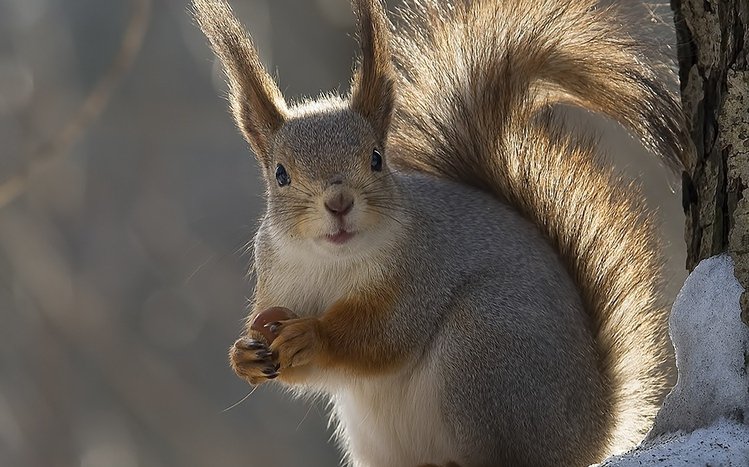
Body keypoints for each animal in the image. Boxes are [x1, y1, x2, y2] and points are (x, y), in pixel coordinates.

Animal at [193, 0, 689, 465]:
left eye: (376, 158)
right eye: (280, 174)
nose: (338, 203)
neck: (332, 263)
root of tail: (592, 431)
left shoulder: (421, 270)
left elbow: (385, 335)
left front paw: (314, 336)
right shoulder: (278, 282)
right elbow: (310, 372)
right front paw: (243, 355)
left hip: (486, 345)